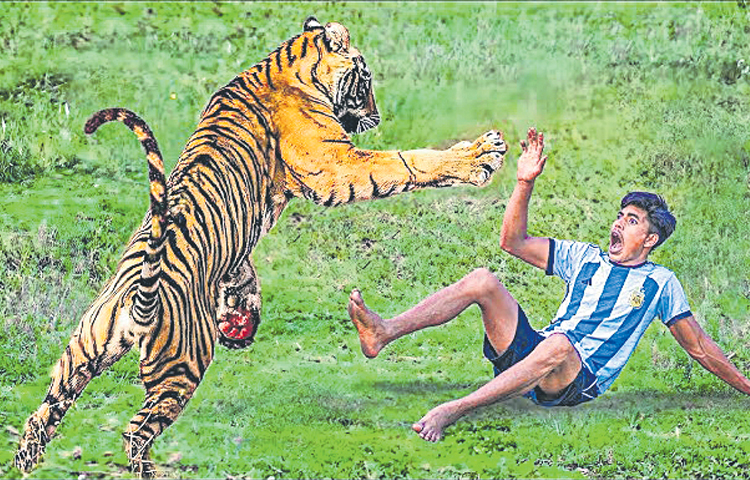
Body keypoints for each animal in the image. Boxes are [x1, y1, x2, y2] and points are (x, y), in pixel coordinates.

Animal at [15, 17, 507, 477]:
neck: (288, 63)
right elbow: (408, 162)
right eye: (365, 80)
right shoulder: (337, 166)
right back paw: (151, 470)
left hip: (80, 353)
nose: (377, 115)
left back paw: (26, 463)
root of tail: (138, 301)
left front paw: (242, 310)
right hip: (182, 366)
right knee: (135, 433)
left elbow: (242, 272)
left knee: (42, 415)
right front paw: (480, 155)